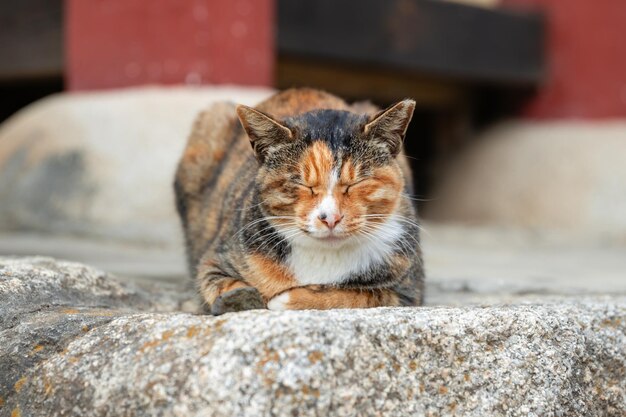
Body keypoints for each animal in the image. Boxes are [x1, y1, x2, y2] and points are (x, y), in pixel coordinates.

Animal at [173, 88, 422, 316]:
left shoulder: (408, 290)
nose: (330, 218)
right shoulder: (215, 260)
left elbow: (361, 296)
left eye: (356, 182)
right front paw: (237, 297)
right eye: (302, 184)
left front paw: (284, 300)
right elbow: (223, 283)